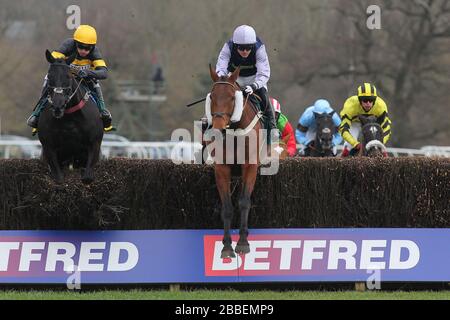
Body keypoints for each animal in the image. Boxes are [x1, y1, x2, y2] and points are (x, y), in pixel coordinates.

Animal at [37, 50, 104, 185]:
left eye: (68, 76)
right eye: (49, 76)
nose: (58, 106)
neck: (69, 117)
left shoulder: (94, 144)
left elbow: (87, 177)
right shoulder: (49, 147)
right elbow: (59, 178)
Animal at [207, 64, 268, 258]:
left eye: (232, 97)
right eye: (212, 96)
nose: (218, 128)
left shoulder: (249, 166)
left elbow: (244, 202)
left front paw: (242, 243)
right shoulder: (222, 168)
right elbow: (227, 207)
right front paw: (227, 246)